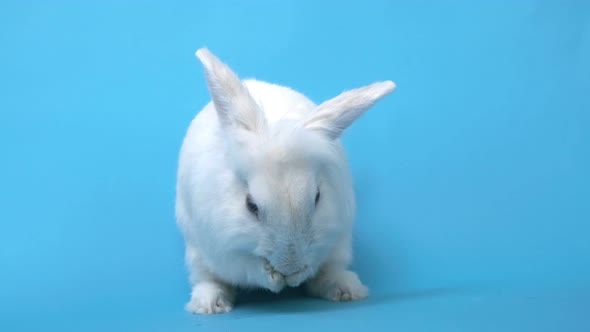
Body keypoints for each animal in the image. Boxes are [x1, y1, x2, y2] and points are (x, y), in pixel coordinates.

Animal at [176, 47, 398, 314]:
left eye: (317, 197)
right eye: (251, 206)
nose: (290, 267)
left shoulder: (330, 235)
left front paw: (296, 277)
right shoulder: (226, 247)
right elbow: (247, 267)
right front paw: (273, 278)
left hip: (340, 248)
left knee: (327, 275)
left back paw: (346, 290)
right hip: (196, 254)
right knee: (208, 279)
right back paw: (211, 304)